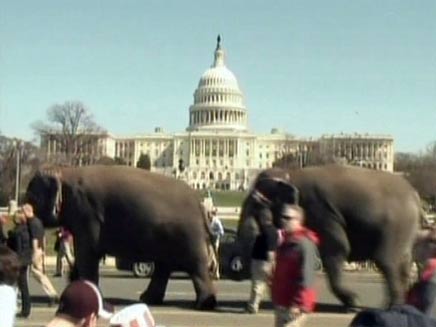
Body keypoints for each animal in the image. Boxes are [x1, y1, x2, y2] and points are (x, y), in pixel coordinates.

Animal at [24, 167, 218, 310]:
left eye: (31, 197)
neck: (65, 171)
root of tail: (200, 204)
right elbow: (83, 255)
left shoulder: (87, 214)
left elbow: (87, 253)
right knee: (164, 267)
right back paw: (148, 299)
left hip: (189, 236)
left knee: (196, 266)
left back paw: (204, 305)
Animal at [237, 165, 424, 312]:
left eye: (257, 205)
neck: (291, 173)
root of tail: (416, 196)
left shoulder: (322, 213)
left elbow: (338, 249)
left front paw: (353, 303)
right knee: (403, 263)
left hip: (396, 227)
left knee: (387, 261)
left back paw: (390, 308)